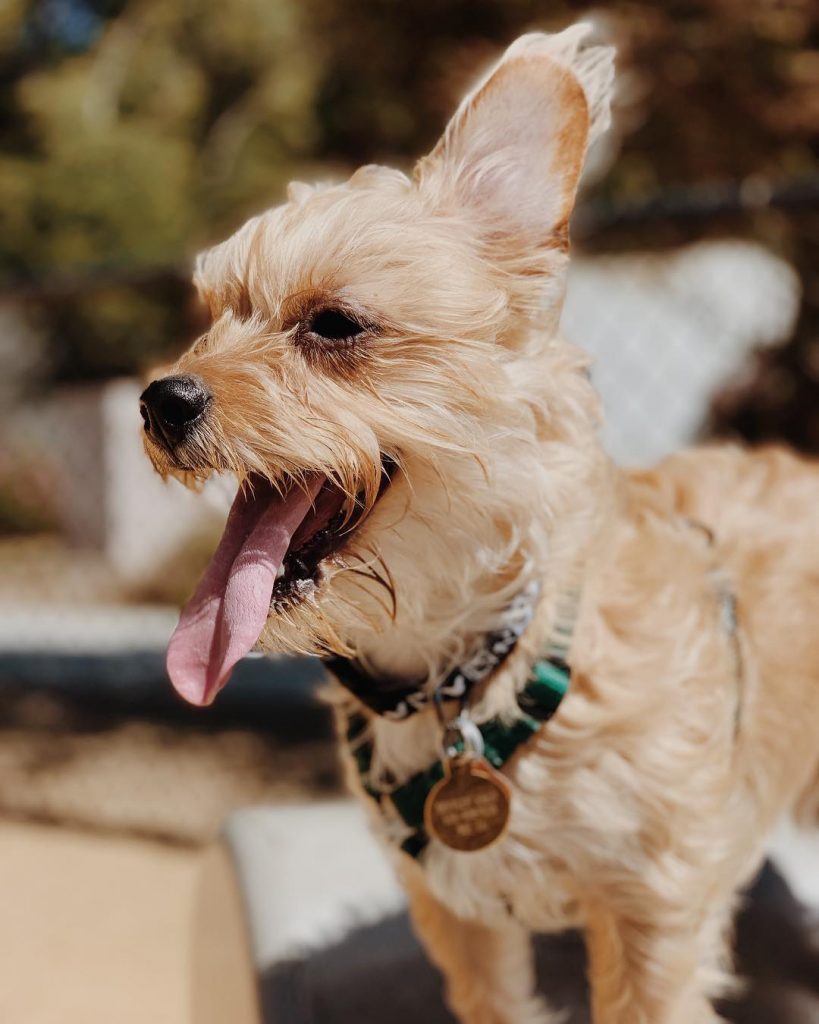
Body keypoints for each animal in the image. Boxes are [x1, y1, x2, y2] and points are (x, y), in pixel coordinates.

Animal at [141, 24, 818, 1024]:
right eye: (212, 317)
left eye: (334, 325)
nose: (159, 399)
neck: (457, 674)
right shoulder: (460, 917)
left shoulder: (651, 918)